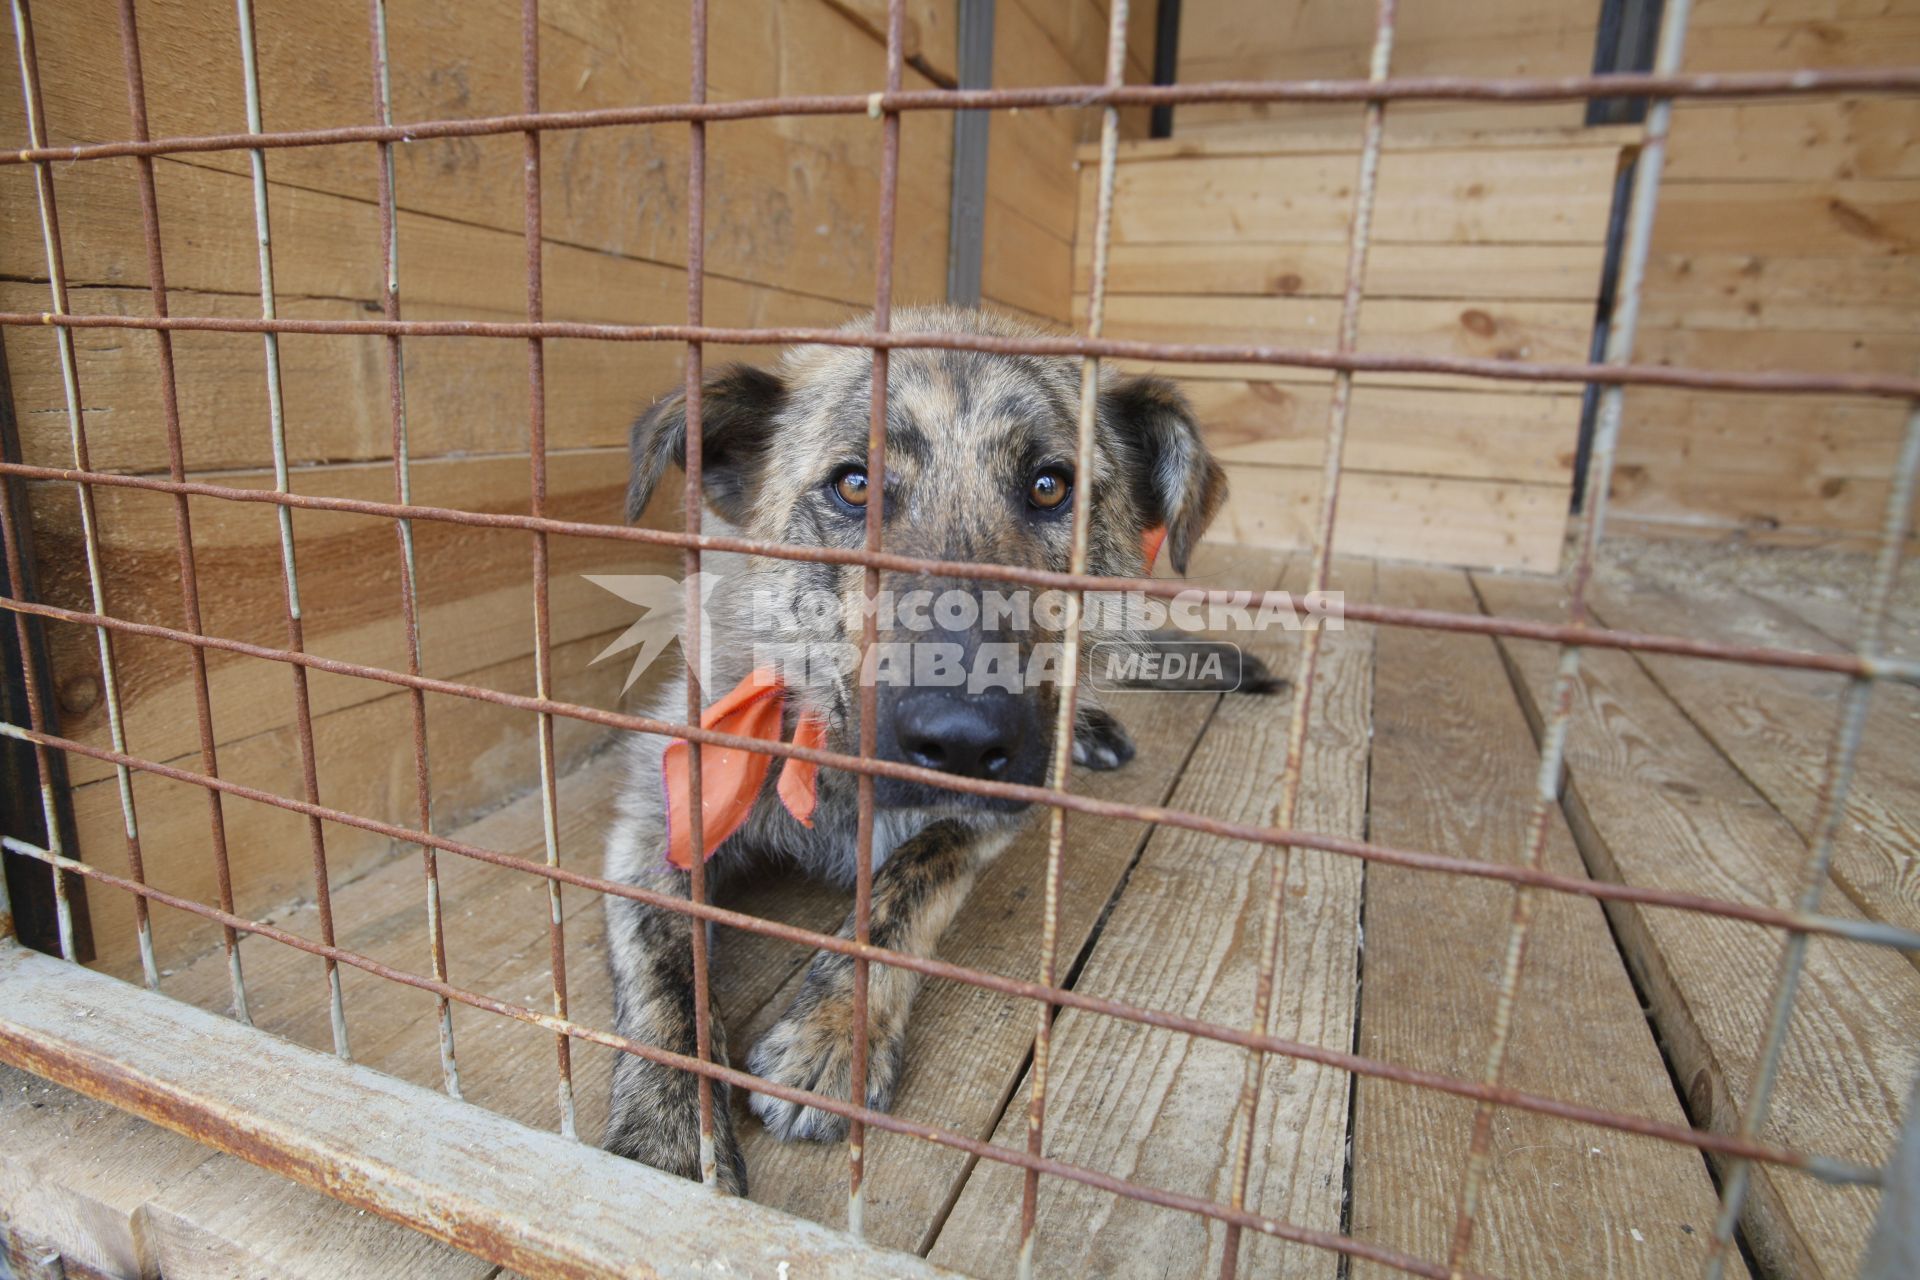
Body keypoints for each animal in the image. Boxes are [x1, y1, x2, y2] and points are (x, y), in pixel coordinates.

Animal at [599, 305, 1228, 1197]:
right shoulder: (660, 818)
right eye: (853, 485)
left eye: (1052, 486)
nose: (963, 739)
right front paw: (673, 1133)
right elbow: (667, 969)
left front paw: (833, 1032)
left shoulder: (995, 811)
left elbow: (911, 881)